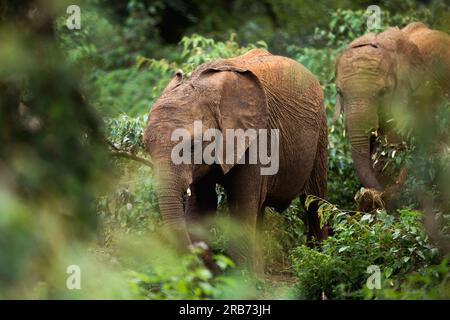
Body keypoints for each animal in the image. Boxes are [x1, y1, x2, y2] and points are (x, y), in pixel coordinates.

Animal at [144, 48, 326, 270]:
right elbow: (201, 205)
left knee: (315, 201)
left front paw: (241, 277)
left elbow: (241, 206)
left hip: (320, 132)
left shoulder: (256, 138)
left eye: (193, 146)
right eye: (146, 149)